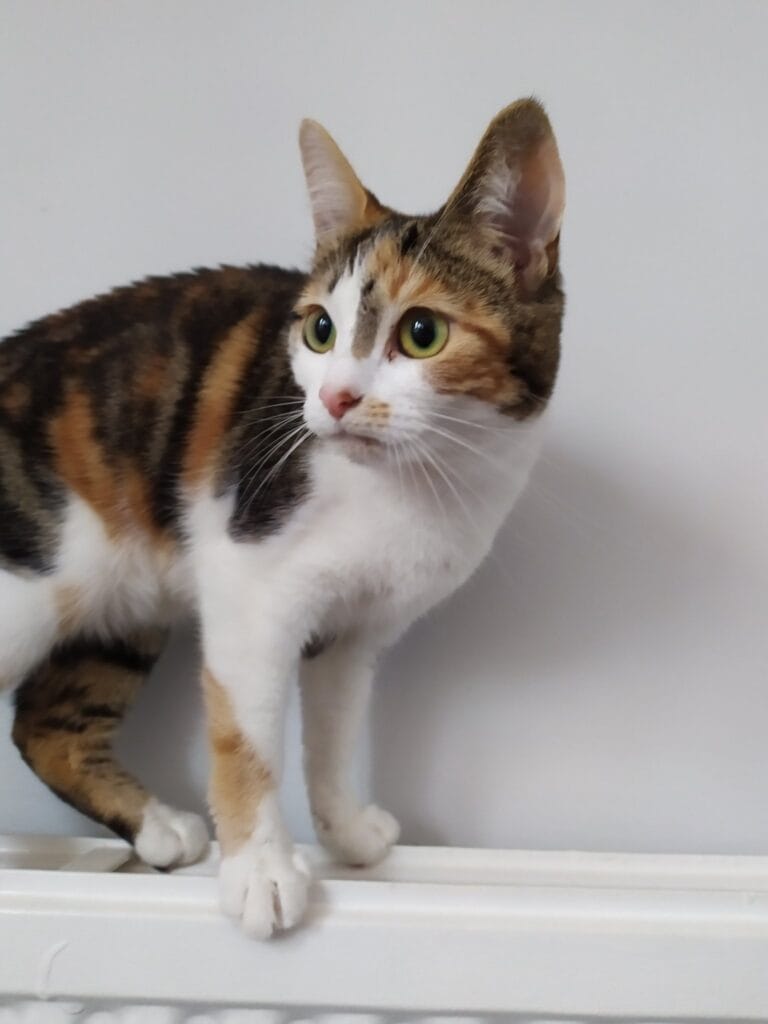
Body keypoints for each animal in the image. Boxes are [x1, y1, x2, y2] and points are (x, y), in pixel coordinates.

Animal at [0, 96, 565, 937]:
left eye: (422, 333)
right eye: (319, 330)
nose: (333, 398)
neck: (410, 490)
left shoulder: (356, 631)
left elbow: (332, 736)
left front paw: (347, 833)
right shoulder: (248, 591)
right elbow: (248, 736)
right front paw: (261, 870)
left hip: (121, 603)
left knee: (46, 725)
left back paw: (158, 829)